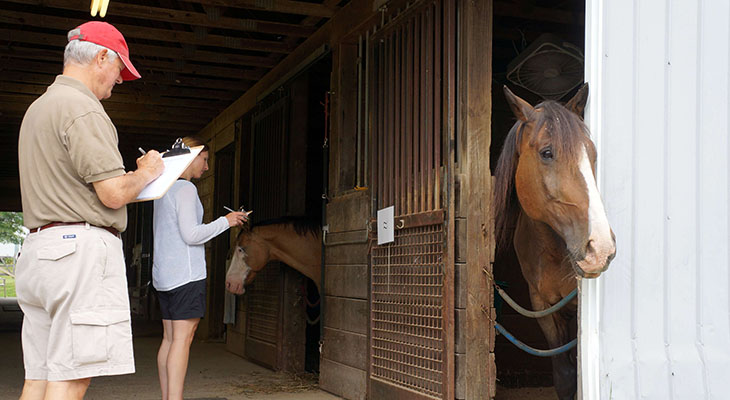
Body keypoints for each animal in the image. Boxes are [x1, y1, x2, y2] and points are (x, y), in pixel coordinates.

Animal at [493, 84, 616, 400]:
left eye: (592, 153)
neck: (553, 251)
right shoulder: (544, 307)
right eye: (547, 153)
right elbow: (564, 376)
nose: (600, 248)